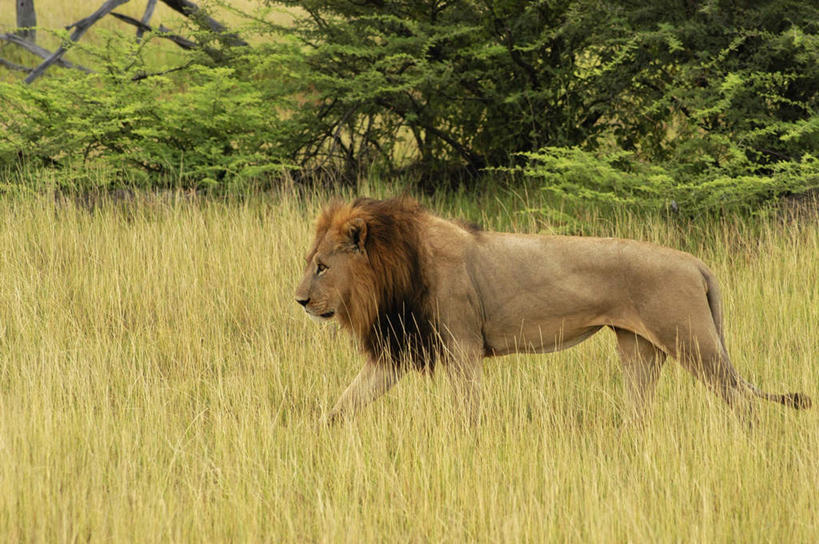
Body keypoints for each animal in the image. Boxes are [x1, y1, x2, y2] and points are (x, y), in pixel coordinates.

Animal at [294, 198, 808, 422]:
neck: (395, 267)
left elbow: (467, 410)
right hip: (639, 349)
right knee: (641, 408)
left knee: (742, 401)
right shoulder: (399, 349)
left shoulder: (461, 347)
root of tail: (696, 262)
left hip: (693, 341)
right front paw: (317, 437)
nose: (299, 301)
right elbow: (346, 401)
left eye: (322, 267)